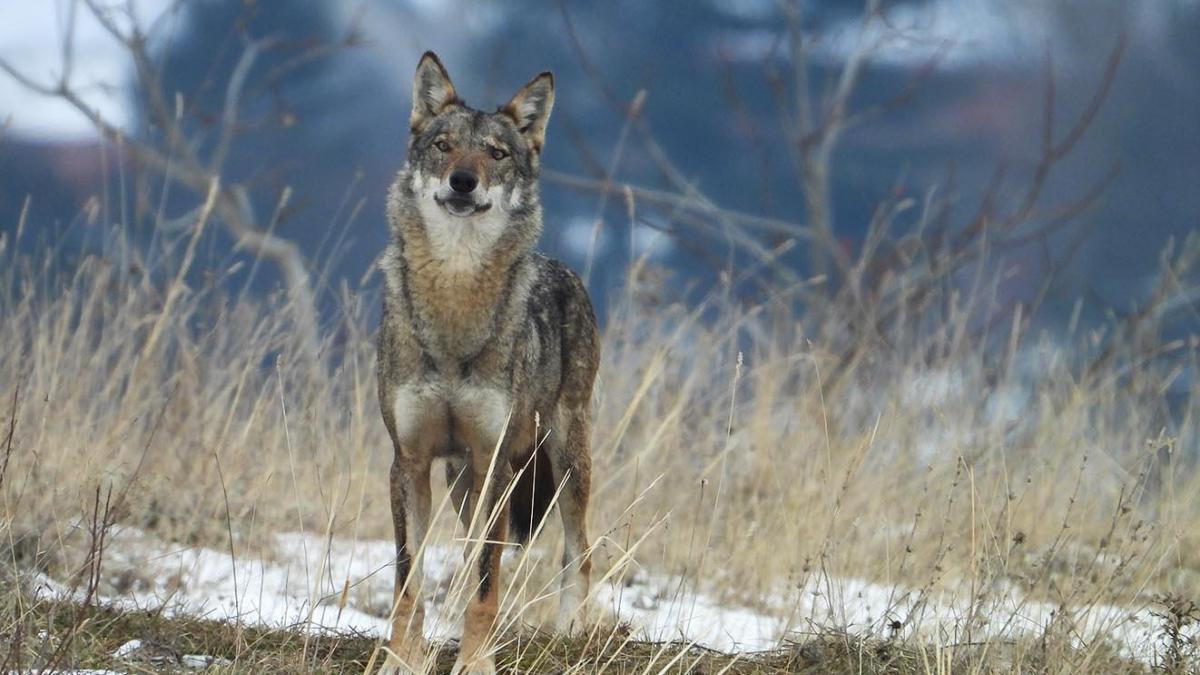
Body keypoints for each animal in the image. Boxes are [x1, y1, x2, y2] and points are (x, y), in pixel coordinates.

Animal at [376, 52, 600, 674]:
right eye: (444, 146)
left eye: (496, 154)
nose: (463, 180)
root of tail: (564, 270)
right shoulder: (408, 463)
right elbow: (408, 580)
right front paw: (401, 660)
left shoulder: (496, 462)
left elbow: (483, 585)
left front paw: (475, 663)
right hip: (462, 483)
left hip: (564, 460)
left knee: (579, 552)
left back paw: (570, 633)